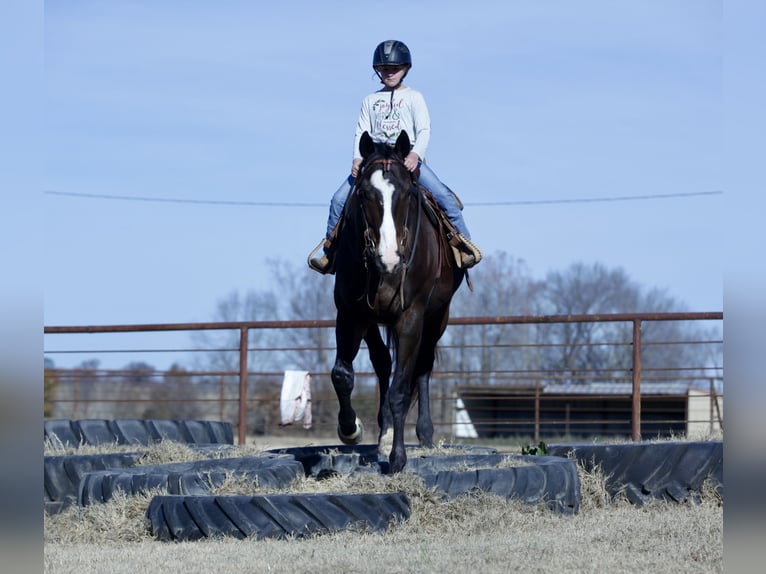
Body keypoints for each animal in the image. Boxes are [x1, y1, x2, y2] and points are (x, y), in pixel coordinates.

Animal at [330, 130, 465, 473]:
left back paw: (425, 434)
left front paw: (398, 458)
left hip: (437, 318)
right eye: (364, 193)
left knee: (422, 368)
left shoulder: (411, 317)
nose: (389, 258)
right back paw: (385, 432)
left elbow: (401, 390)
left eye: (406, 193)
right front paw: (351, 429)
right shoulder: (351, 313)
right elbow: (342, 374)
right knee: (382, 363)